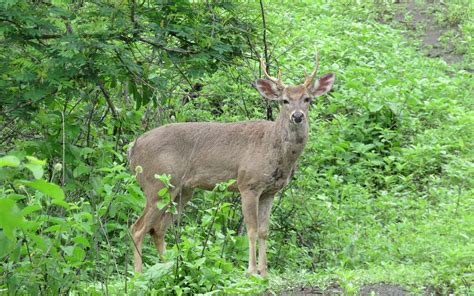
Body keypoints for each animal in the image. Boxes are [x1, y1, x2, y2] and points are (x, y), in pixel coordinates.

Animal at [128, 49, 336, 276]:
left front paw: (265, 272)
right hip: (156, 183)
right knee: (137, 228)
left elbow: (264, 231)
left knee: (158, 229)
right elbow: (251, 230)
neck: (274, 148)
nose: (297, 116)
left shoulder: (270, 191)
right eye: (284, 101)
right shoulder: (248, 184)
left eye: (307, 99)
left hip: (182, 189)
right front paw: (251, 271)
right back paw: (139, 275)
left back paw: (171, 268)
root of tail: (133, 148)